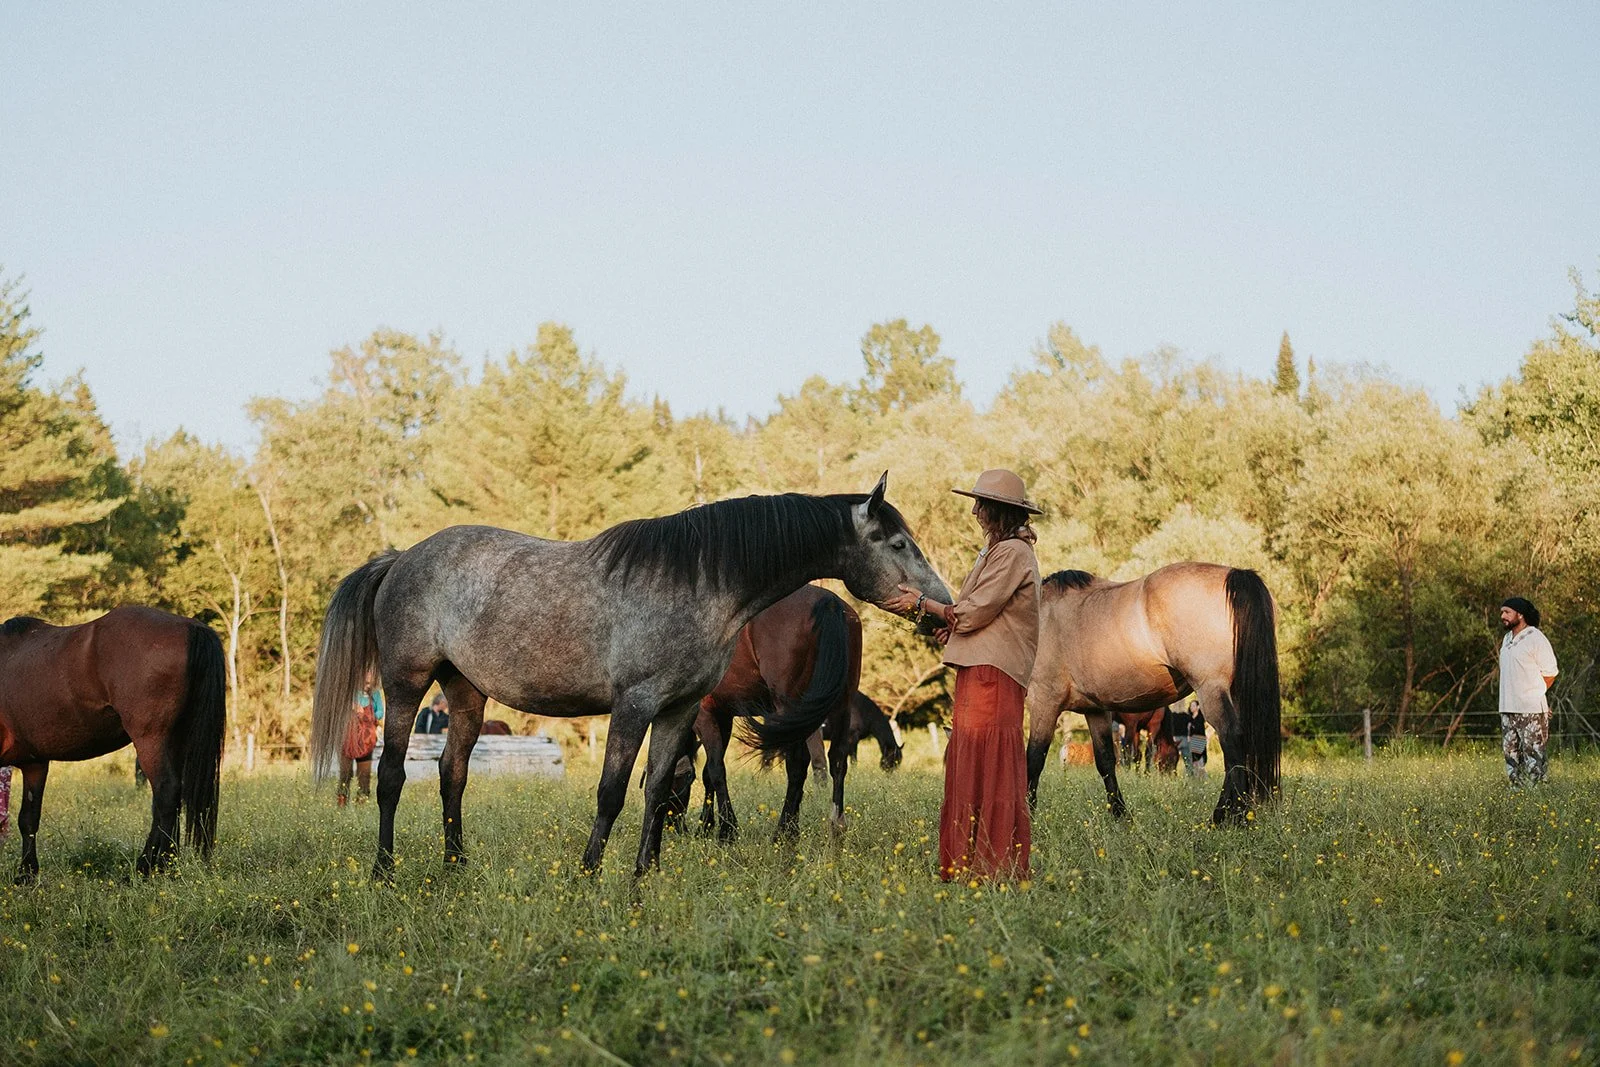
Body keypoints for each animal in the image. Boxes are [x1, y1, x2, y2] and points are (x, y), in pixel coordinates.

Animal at [0, 608, 227, 883]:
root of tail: (191, 627)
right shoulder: (35, 763)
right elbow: (29, 818)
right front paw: (27, 874)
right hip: (175, 741)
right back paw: (167, 865)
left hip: (151, 740)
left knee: (166, 794)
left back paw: (144, 868)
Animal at [310, 474, 951, 879]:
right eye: (899, 542)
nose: (944, 605)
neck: (699, 581)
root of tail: (401, 558)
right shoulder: (636, 705)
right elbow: (614, 790)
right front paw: (590, 874)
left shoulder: (680, 710)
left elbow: (660, 787)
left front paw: (645, 875)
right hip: (405, 685)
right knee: (391, 774)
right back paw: (385, 871)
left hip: (465, 691)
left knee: (453, 774)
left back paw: (455, 865)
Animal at [1024, 563, 1280, 824]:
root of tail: (1235, 573)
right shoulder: (1095, 710)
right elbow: (1106, 760)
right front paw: (1120, 814)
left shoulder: (1044, 701)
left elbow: (1034, 759)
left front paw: (1027, 814)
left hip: (1211, 690)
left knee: (1232, 741)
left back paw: (1227, 816)